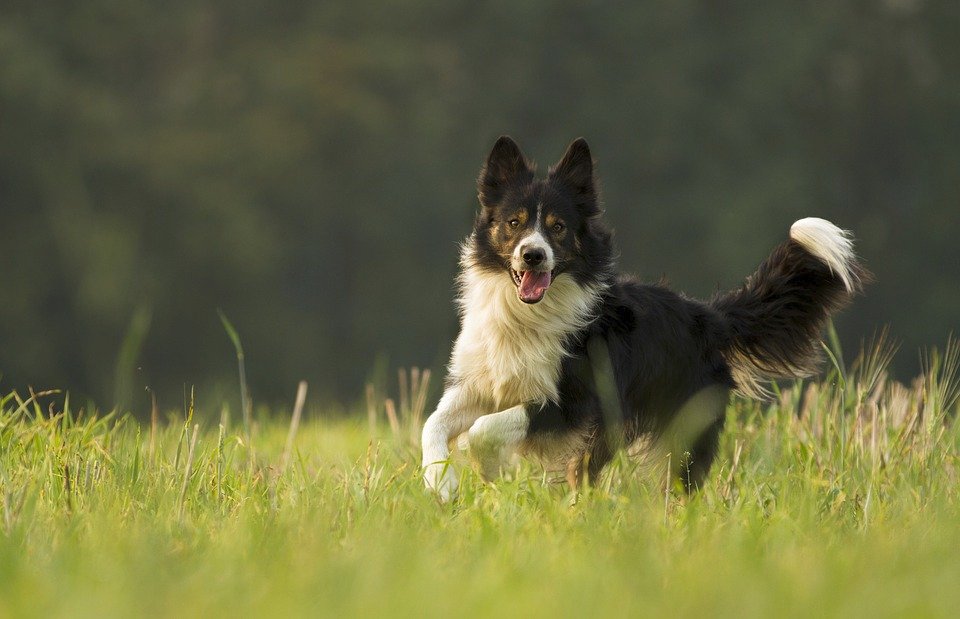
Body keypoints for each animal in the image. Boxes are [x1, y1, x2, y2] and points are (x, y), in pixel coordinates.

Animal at [420, 134, 864, 498]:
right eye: (514, 222)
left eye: (558, 227)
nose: (533, 255)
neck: (527, 315)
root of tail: (707, 316)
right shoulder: (480, 382)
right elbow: (433, 423)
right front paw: (440, 484)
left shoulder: (574, 402)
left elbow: (485, 429)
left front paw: (487, 469)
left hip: (676, 426)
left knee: (676, 484)